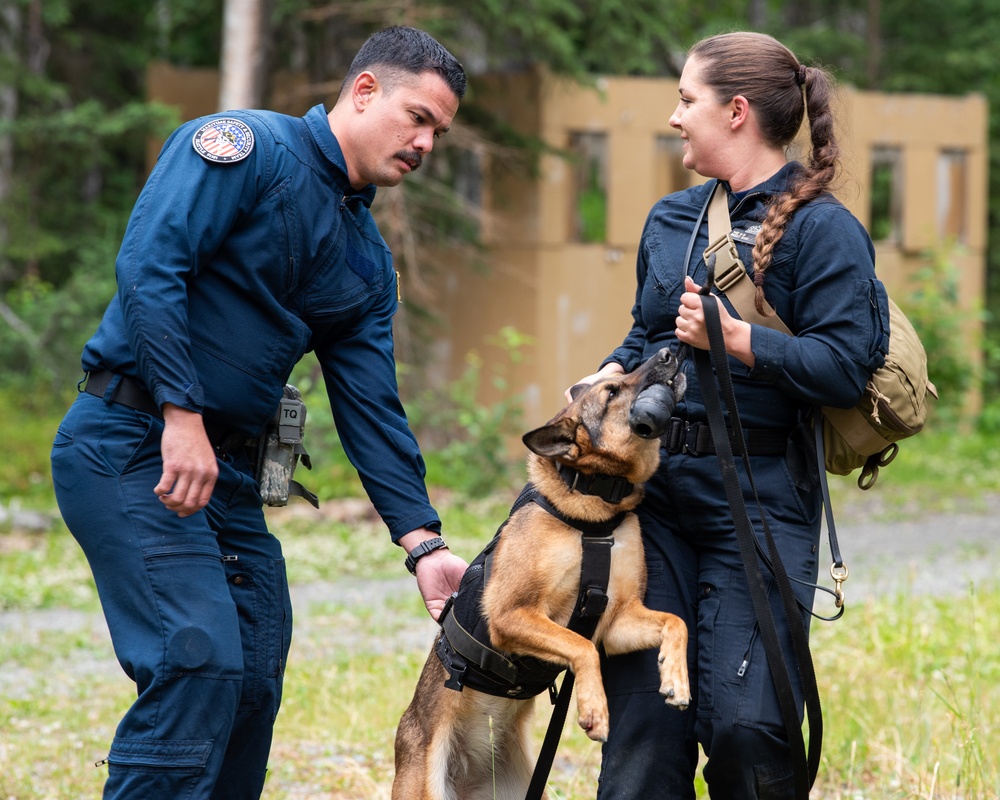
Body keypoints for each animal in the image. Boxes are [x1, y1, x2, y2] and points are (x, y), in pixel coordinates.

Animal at [394, 346, 692, 796]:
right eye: (612, 391)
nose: (670, 350)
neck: (593, 515)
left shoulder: (618, 622)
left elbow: (676, 622)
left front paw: (676, 677)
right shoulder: (510, 615)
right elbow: (581, 646)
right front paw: (594, 708)